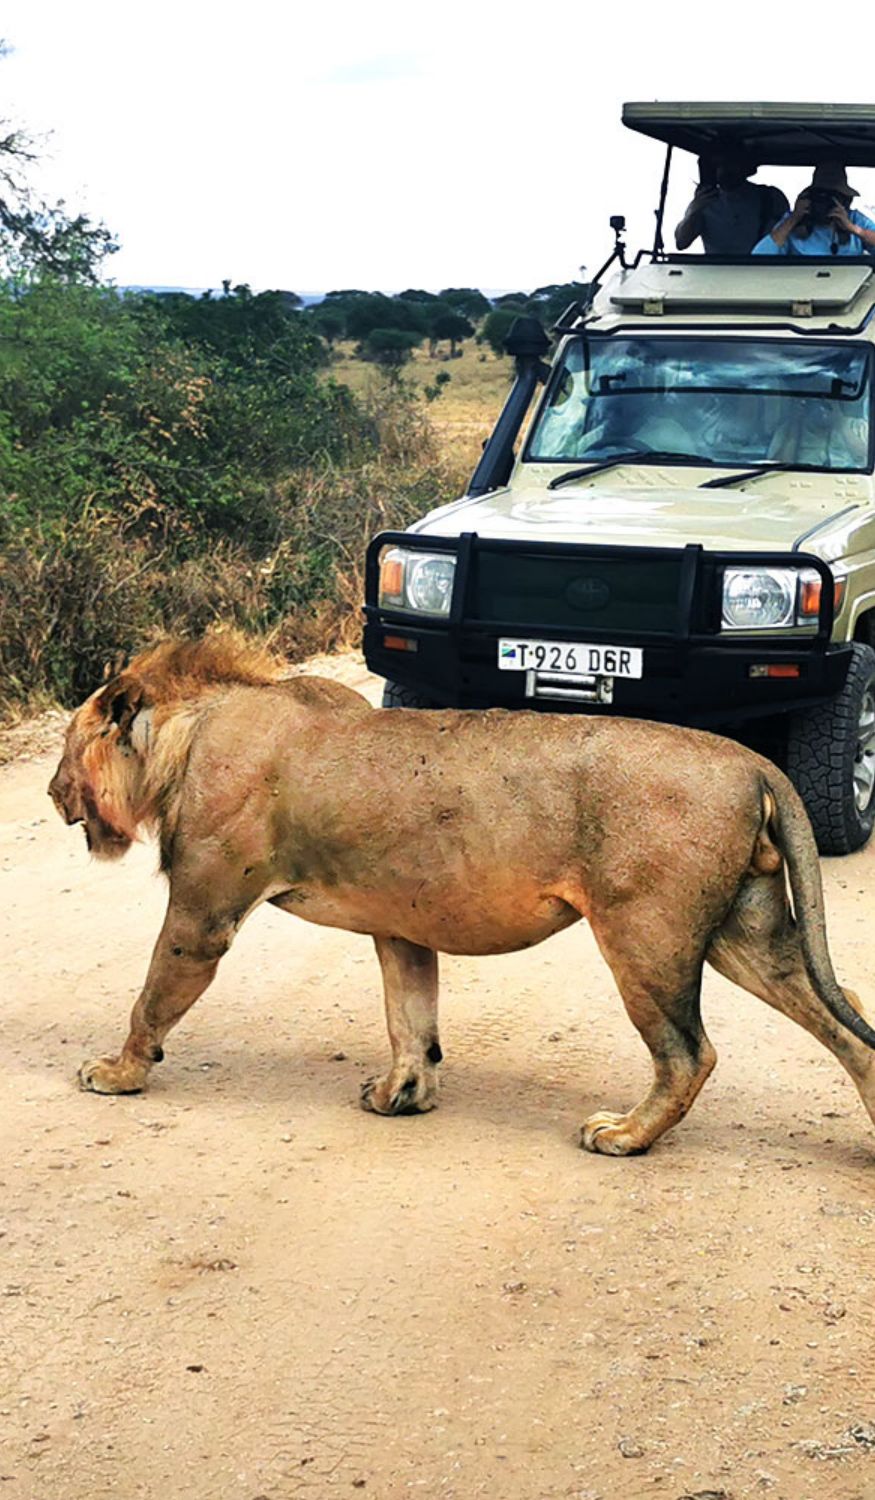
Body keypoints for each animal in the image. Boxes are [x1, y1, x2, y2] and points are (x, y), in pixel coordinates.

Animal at [48, 632, 875, 1155]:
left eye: (66, 747)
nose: (52, 793)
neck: (185, 738)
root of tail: (751, 762)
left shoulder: (204, 912)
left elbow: (152, 998)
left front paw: (116, 1074)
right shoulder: (398, 922)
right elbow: (410, 1016)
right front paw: (402, 1095)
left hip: (644, 935)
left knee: (688, 1054)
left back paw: (622, 1135)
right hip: (745, 930)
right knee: (843, 1013)